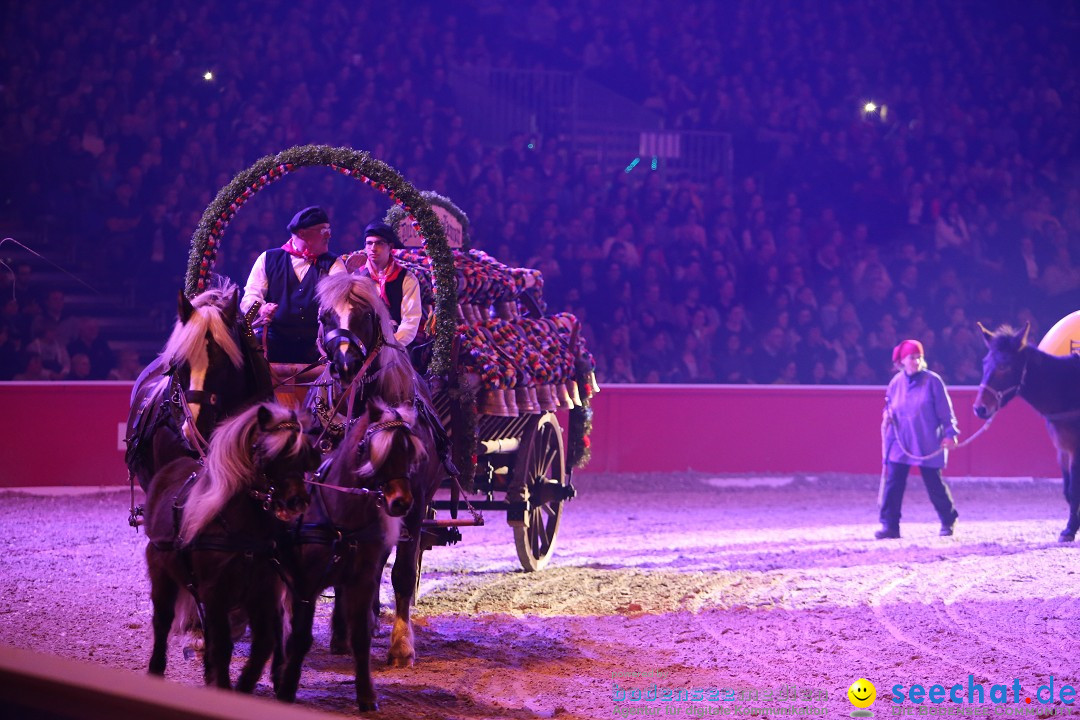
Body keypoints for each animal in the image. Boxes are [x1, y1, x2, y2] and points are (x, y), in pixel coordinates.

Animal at [142, 403, 315, 690]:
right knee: (162, 621)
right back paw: (156, 669)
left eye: (304, 454)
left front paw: (243, 685)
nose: (297, 502)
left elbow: (264, 642)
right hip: (162, 574)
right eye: (267, 453)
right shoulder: (215, 591)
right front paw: (223, 685)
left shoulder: (262, 592)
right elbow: (223, 646)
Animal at [274, 403, 429, 712]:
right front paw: (287, 689)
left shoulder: (362, 581)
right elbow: (301, 637)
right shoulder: (306, 584)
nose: (402, 502)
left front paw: (367, 695)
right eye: (372, 449)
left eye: (410, 451)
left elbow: (361, 636)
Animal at [306, 273, 449, 673]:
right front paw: (341, 631)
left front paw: (401, 646)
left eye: (366, 316)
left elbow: (401, 574)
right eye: (325, 316)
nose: (345, 362)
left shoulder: (413, 505)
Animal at [976, 323, 1080, 544]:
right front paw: (1071, 527)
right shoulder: (1063, 449)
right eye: (985, 363)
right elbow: (1068, 491)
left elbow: (1075, 490)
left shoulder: (1077, 448)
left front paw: (1070, 530)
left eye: (1004, 366)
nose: (979, 408)